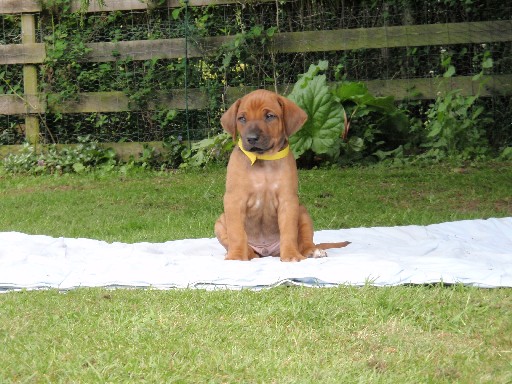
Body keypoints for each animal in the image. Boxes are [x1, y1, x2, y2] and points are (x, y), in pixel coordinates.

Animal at [214, 89, 350, 260]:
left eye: (269, 116)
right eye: (242, 118)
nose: (251, 138)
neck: (264, 159)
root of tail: (266, 251)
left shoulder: (288, 200)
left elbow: (289, 231)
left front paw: (291, 255)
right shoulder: (234, 200)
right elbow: (237, 233)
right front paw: (237, 256)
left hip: (302, 212)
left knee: (305, 241)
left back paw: (312, 251)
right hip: (220, 222)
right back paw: (248, 253)